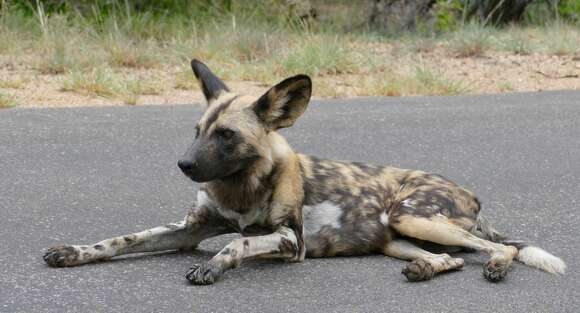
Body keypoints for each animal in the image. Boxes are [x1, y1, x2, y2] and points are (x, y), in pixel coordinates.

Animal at [42, 58, 568, 282]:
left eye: (226, 135)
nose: (184, 163)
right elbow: (119, 240)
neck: (240, 189)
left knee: (501, 249)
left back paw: (495, 265)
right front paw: (73, 252)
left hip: (412, 216)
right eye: (197, 130)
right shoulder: (187, 230)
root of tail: (470, 193)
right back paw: (424, 268)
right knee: (452, 259)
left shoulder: (289, 242)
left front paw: (214, 266)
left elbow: (238, 242)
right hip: (398, 236)